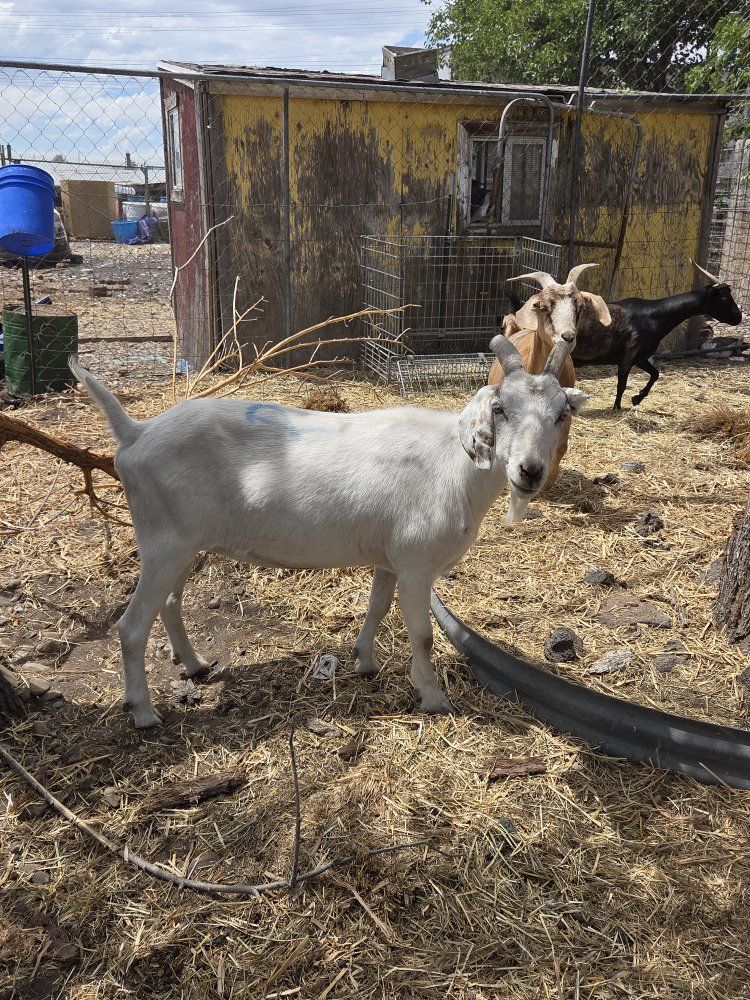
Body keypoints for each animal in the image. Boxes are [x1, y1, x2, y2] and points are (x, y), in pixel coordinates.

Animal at [69, 342, 587, 729]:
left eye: (562, 414)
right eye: (500, 408)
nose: (530, 471)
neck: (453, 464)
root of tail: (135, 434)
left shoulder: (389, 558)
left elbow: (377, 608)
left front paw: (364, 661)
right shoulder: (416, 565)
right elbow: (421, 635)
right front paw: (434, 697)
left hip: (185, 543)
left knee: (171, 602)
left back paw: (194, 664)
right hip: (163, 541)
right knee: (132, 626)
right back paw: (143, 713)